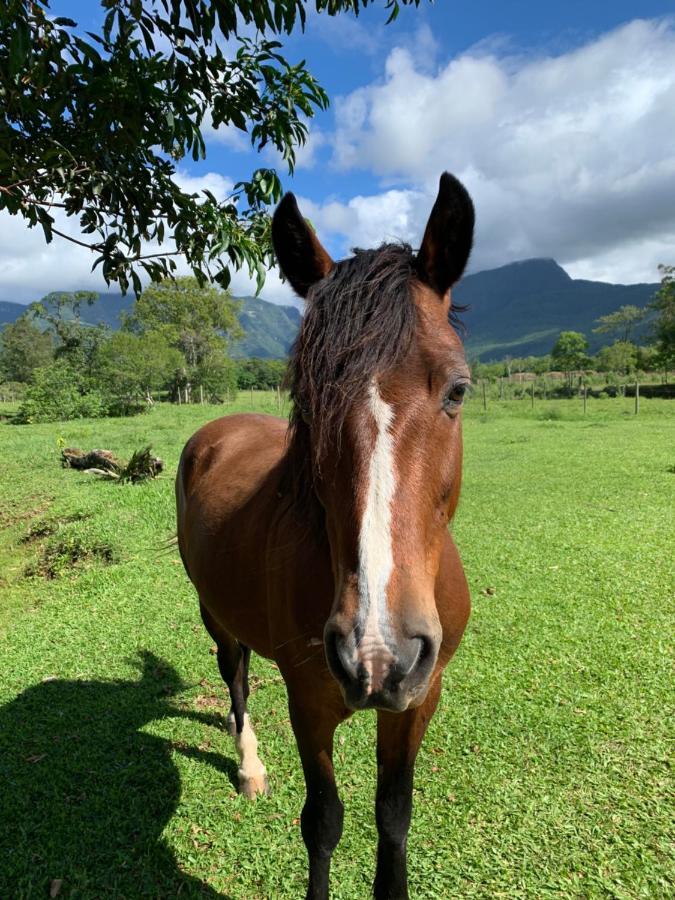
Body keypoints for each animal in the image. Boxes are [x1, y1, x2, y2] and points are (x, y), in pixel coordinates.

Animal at [177, 172, 478, 896]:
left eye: (457, 390)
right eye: (308, 400)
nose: (378, 654)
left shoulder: (417, 699)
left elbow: (393, 815)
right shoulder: (309, 702)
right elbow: (323, 822)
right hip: (214, 613)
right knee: (234, 674)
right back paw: (249, 764)